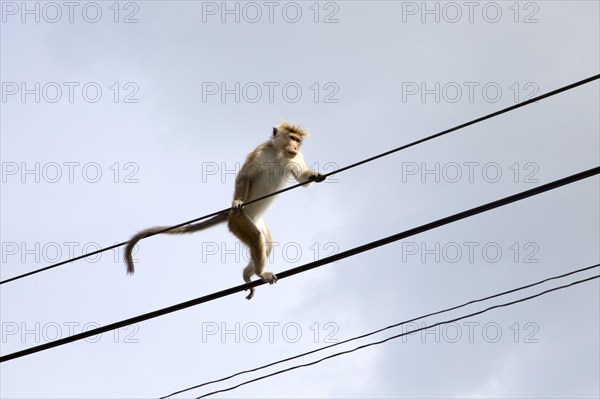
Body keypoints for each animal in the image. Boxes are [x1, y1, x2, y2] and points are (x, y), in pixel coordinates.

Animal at [122, 122, 326, 300]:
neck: (279, 154)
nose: (295, 146)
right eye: (291, 137)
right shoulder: (261, 151)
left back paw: (248, 274)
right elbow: (245, 176)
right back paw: (259, 272)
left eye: (298, 140)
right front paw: (237, 200)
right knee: (256, 238)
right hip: (238, 221)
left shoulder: (296, 157)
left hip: (255, 221)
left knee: (266, 244)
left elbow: (301, 178)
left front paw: (315, 175)